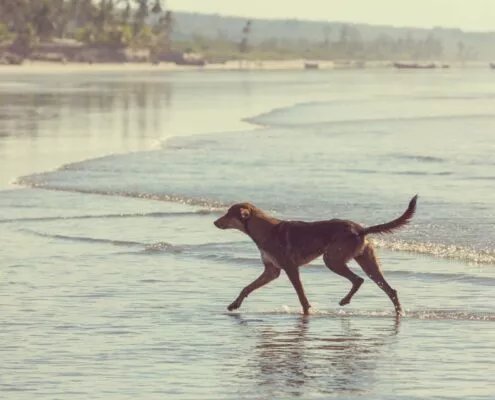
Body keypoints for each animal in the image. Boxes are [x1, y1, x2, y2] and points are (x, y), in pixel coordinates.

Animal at [214, 196, 418, 316]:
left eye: (228, 214)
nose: (214, 222)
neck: (264, 230)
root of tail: (360, 229)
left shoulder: (290, 267)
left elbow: (301, 295)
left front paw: (307, 311)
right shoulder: (271, 271)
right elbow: (247, 288)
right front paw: (234, 305)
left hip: (332, 259)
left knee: (358, 280)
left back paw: (346, 301)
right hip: (366, 261)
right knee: (389, 289)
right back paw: (398, 314)